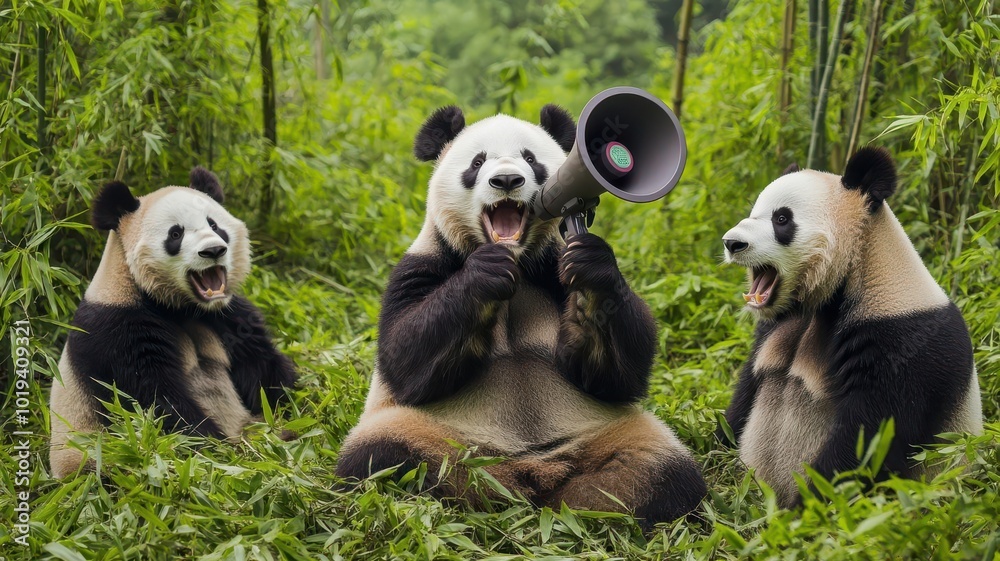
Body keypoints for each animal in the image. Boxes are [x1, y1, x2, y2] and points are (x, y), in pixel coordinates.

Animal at [49, 167, 297, 478]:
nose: (213, 250)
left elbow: (261, 365)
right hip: (91, 459)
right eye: (176, 233)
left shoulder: (226, 316)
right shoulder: (116, 329)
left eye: (214, 225)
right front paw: (223, 451)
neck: (178, 306)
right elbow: (155, 403)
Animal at [334, 105, 706, 527]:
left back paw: (593, 506)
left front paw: (591, 273)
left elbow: (617, 376)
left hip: (605, 433)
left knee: (665, 472)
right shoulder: (423, 264)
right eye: (477, 163)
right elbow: (404, 358)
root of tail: (526, 478)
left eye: (531, 159)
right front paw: (485, 272)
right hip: (442, 438)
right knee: (383, 458)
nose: (508, 180)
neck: (517, 261)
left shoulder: (551, 269)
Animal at [717, 147, 983, 507]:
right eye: (754, 212)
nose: (732, 243)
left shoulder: (903, 341)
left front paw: (802, 509)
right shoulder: (775, 326)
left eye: (782, 219)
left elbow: (868, 440)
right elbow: (745, 392)